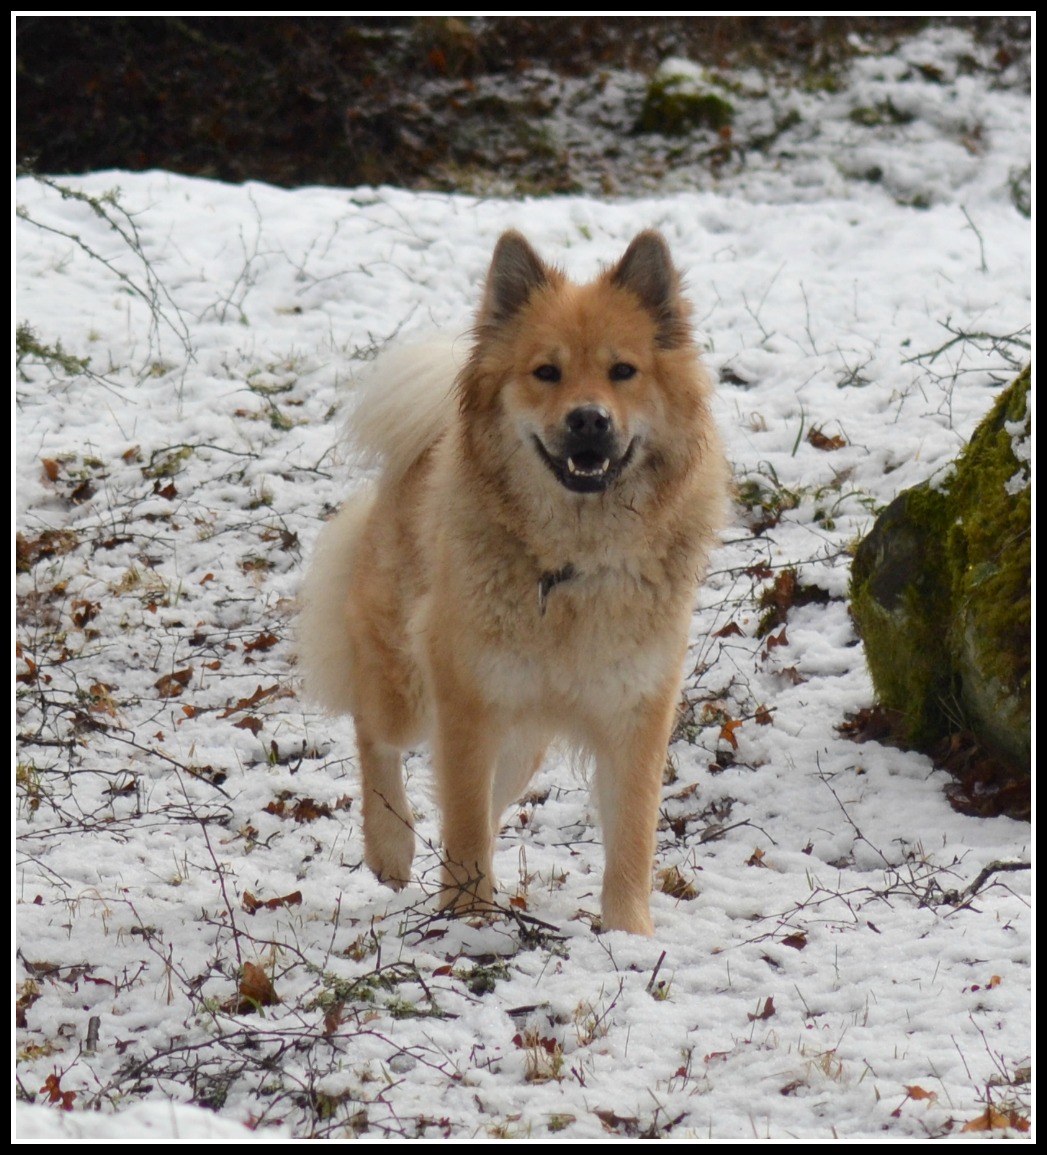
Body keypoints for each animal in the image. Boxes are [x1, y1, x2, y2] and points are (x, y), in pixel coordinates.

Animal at [299, 230, 728, 935]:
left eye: (623, 371)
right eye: (545, 373)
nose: (589, 420)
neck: (574, 563)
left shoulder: (634, 712)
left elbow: (631, 838)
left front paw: (628, 936)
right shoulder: (469, 703)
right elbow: (465, 821)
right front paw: (467, 918)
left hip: (521, 740)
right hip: (408, 688)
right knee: (373, 731)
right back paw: (391, 848)